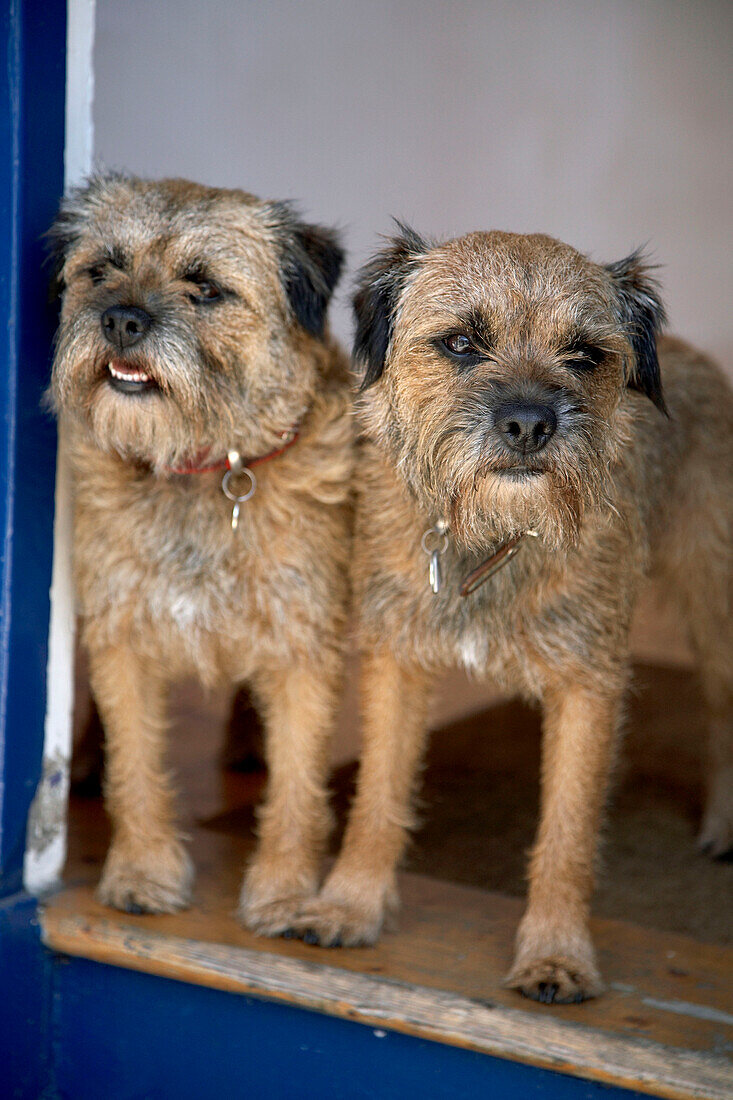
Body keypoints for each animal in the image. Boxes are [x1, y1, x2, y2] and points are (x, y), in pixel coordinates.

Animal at [48, 176, 352, 932]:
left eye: (206, 288)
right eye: (101, 270)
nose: (121, 320)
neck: (203, 467)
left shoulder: (303, 647)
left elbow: (299, 782)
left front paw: (283, 892)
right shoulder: (122, 633)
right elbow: (134, 765)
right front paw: (141, 873)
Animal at [288, 227, 730, 1003]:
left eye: (584, 354)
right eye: (462, 343)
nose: (529, 424)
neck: (492, 534)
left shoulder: (588, 686)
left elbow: (567, 832)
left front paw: (556, 954)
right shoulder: (395, 662)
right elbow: (378, 795)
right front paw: (350, 904)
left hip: (714, 605)